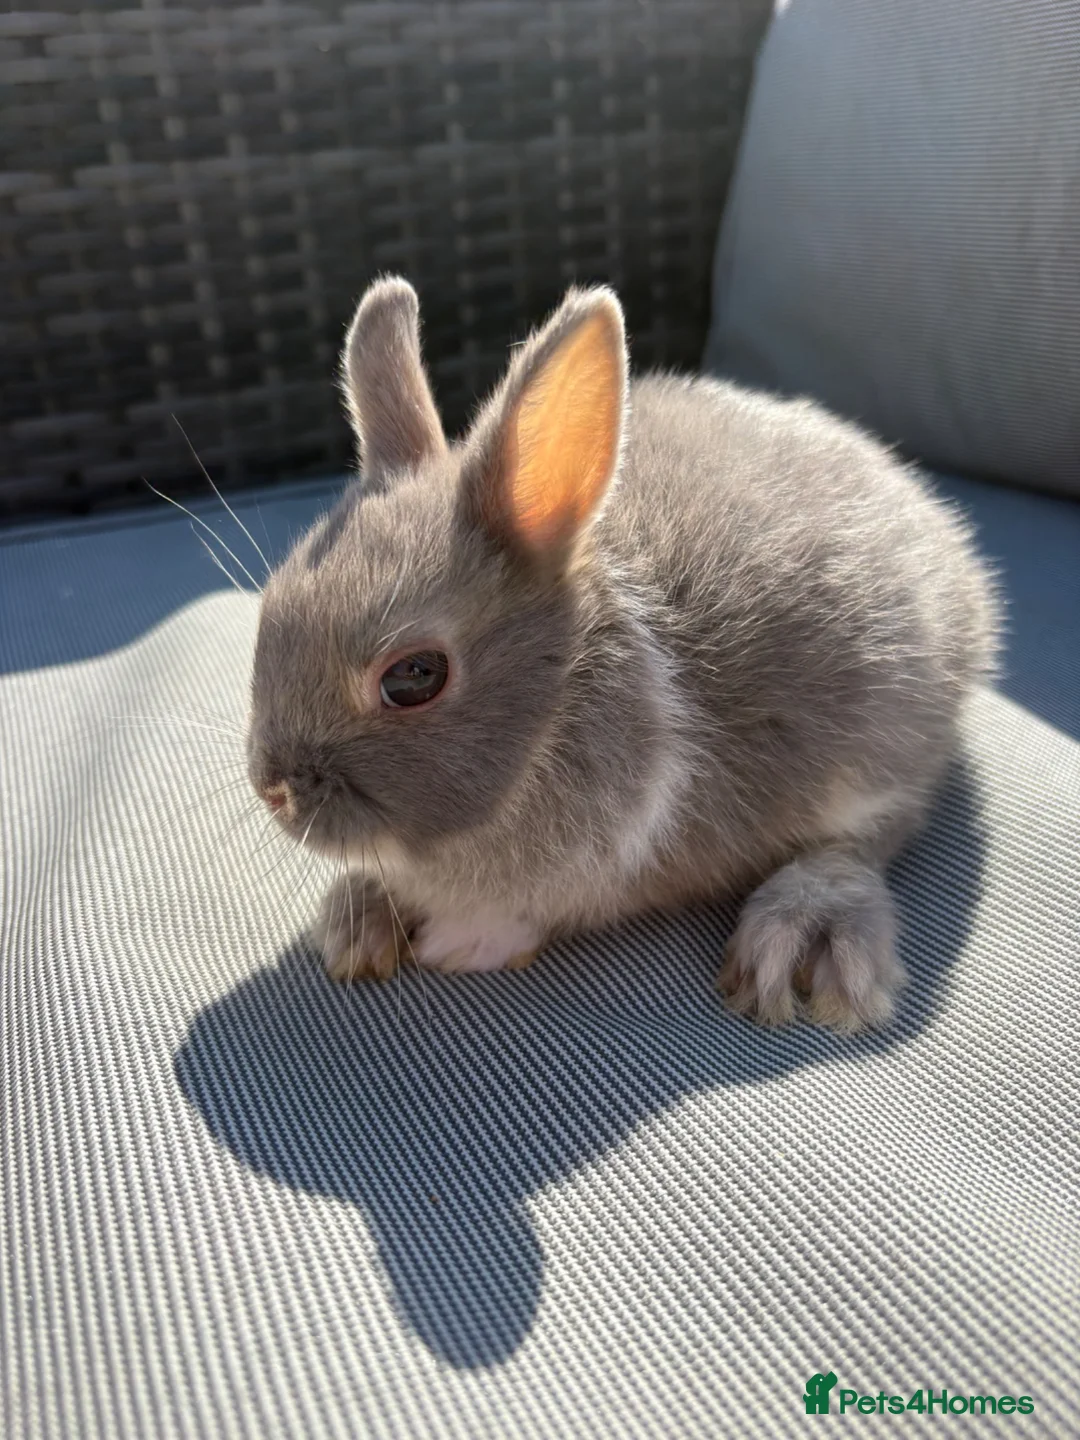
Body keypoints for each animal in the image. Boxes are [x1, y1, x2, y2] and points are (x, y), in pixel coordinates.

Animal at [247, 276, 998, 1029]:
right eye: (270, 611)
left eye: (413, 676)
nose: (273, 791)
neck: (567, 689)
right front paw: (359, 916)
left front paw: (460, 941)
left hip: (886, 741)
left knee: (871, 837)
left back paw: (803, 933)